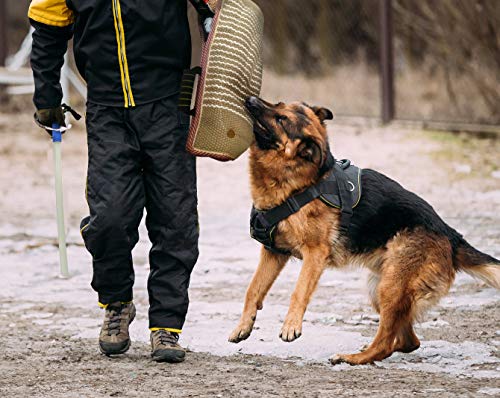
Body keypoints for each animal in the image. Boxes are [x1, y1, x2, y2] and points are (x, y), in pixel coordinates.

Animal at [229, 95, 500, 364]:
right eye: (278, 104)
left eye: (281, 119)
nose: (250, 99)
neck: (299, 182)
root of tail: (450, 233)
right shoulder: (273, 253)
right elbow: (253, 289)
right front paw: (243, 326)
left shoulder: (314, 254)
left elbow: (299, 291)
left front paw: (291, 326)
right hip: (379, 287)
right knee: (408, 341)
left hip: (390, 287)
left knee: (386, 341)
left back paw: (353, 357)